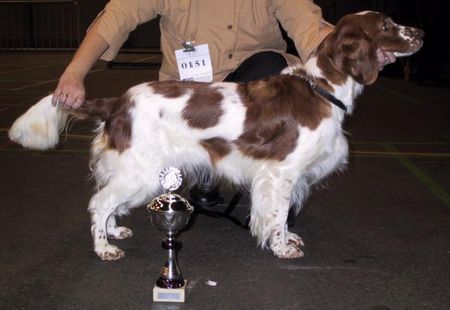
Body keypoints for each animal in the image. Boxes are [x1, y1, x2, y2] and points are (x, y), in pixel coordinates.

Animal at [8, 11, 422, 260]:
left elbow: (281, 215)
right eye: (386, 26)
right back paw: (103, 248)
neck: (322, 87)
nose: (420, 31)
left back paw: (114, 232)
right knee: (99, 202)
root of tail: (117, 102)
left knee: (108, 201)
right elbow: (278, 215)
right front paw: (283, 247)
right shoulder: (280, 173)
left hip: (138, 172)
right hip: (142, 171)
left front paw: (287, 240)